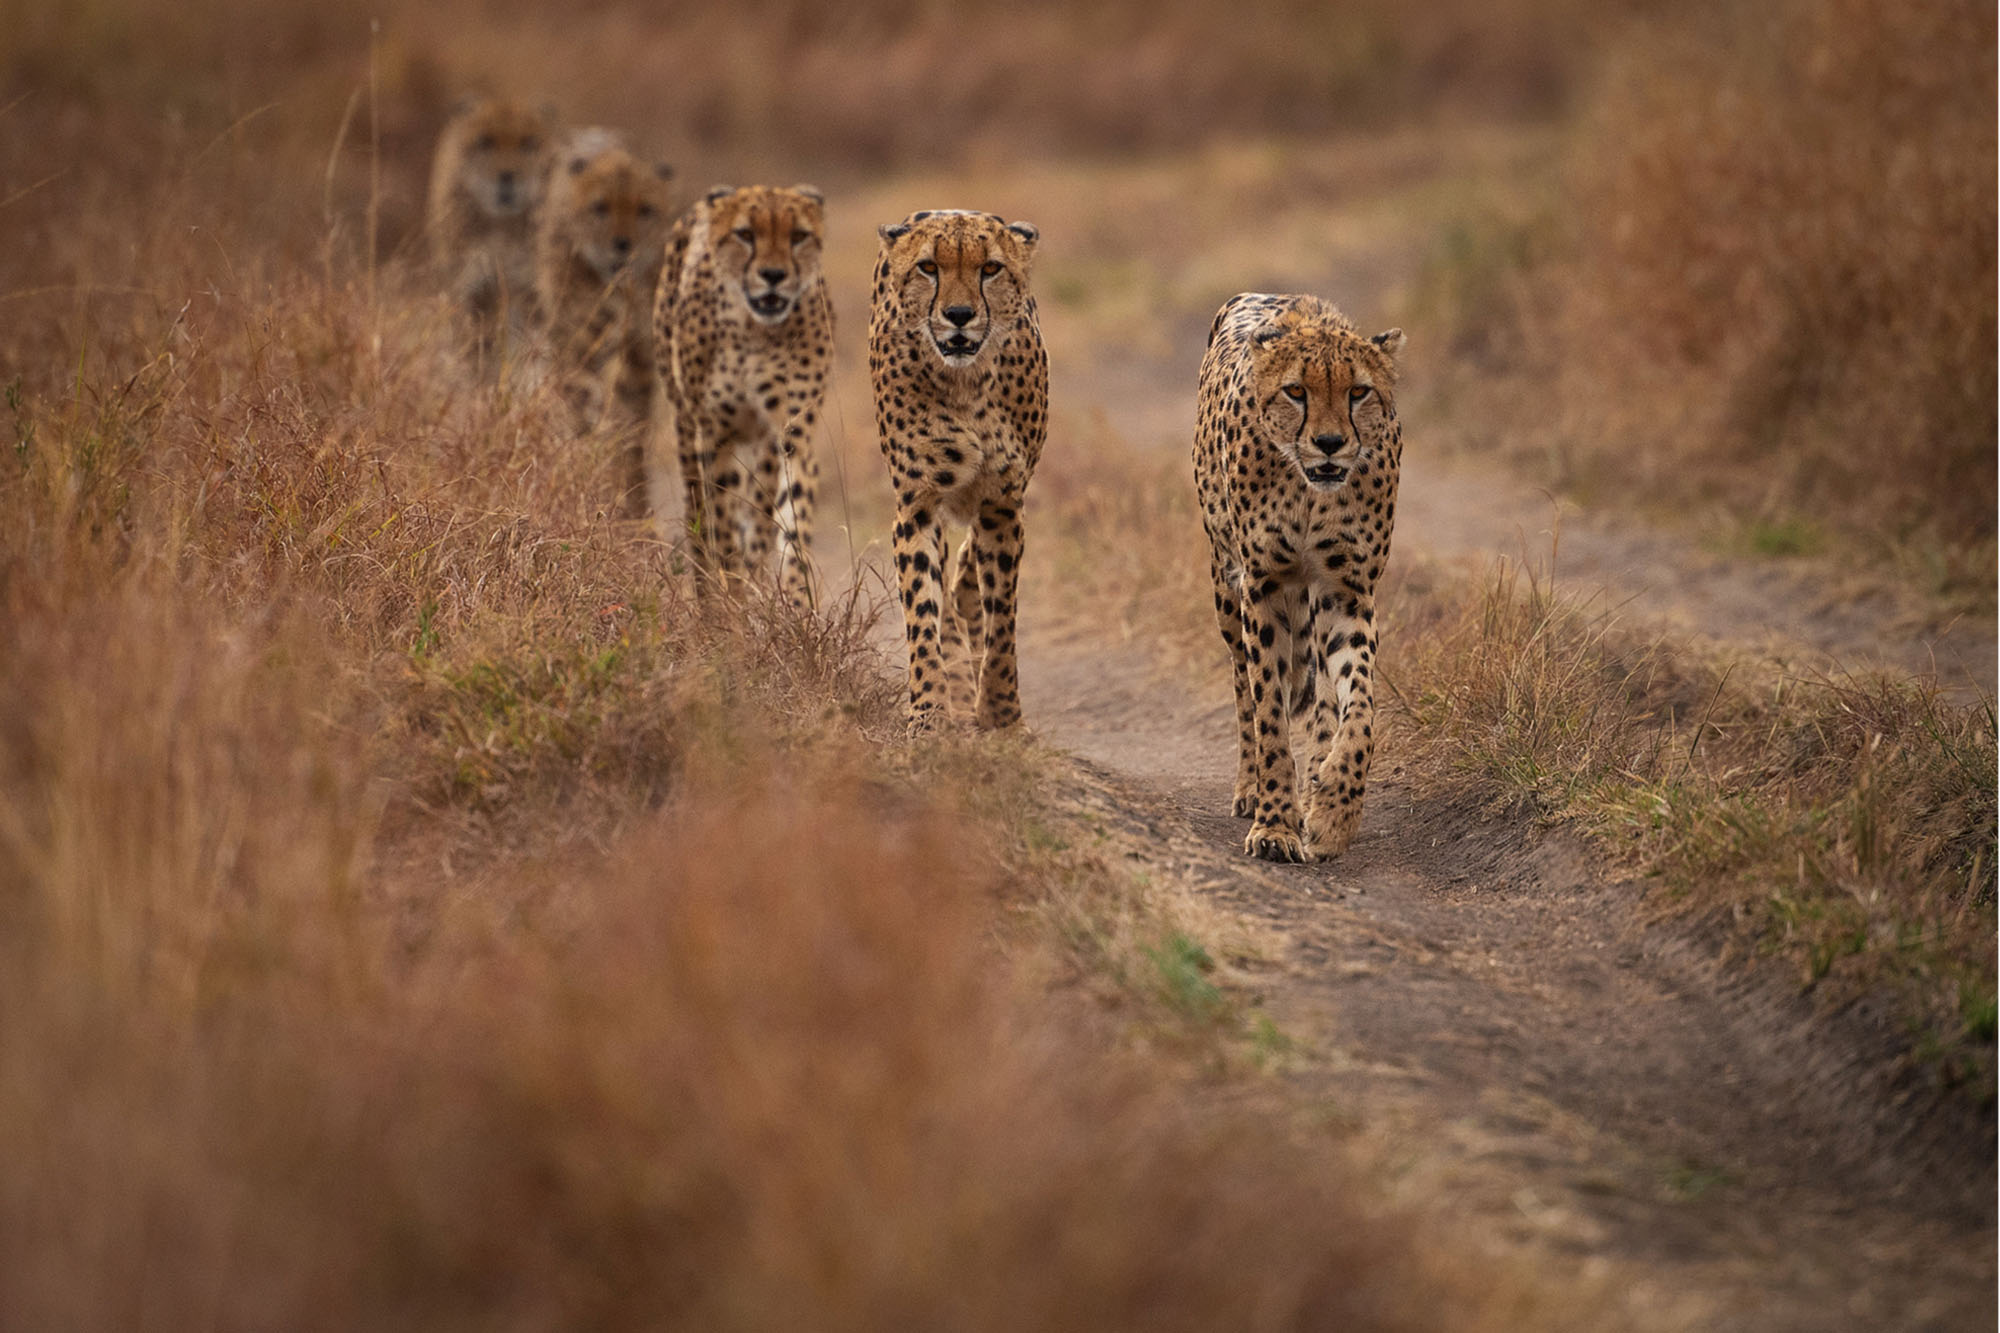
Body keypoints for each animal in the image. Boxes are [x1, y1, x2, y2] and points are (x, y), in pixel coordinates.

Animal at [426, 96, 560, 368]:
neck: (502, 227)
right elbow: (476, 354)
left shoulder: (532, 294)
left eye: (528, 143)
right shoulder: (472, 294)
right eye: (485, 142)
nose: (507, 177)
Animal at [536, 141, 676, 512]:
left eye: (645, 210)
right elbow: (583, 396)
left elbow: (630, 422)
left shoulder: (639, 351)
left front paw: (631, 499)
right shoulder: (579, 343)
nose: (622, 245)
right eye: (601, 207)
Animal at [872, 208, 1056, 732]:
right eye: (929, 268)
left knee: (967, 574)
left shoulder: (1003, 504)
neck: (965, 381)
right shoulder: (917, 505)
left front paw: (1001, 713)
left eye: (989, 268)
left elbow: (1001, 620)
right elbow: (921, 611)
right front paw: (929, 711)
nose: (958, 315)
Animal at [1192, 290, 1416, 860]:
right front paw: (1275, 824)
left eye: (1358, 391)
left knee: (1321, 702)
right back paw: (1252, 789)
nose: (1331, 442)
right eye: (1296, 391)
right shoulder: (1263, 585)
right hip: (1226, 591)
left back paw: (1315, 780)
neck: (1309, 488)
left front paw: (1334, 809)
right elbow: (1269, 711)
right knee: (1243, 689)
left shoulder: (1346, 591)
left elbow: (1359, 709)